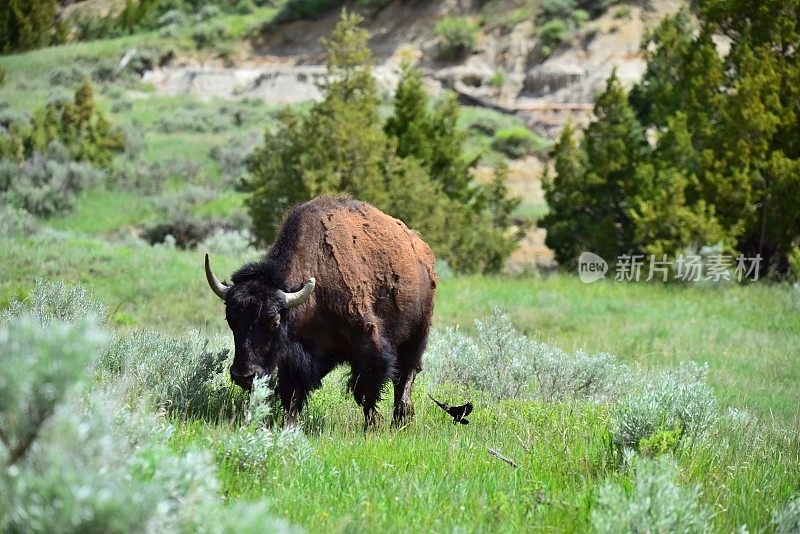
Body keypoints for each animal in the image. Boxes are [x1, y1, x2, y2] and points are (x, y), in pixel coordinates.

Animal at [203, 197, 434, 432]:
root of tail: (421, 249)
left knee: (405, 374)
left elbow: (365, 391)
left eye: (273, 320)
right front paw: (290, 427)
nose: (244, 375)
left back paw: (402, 418)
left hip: (418, 332)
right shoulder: (293, 355)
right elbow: (292, 392)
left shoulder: (369, 344)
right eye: (231, 320)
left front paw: (373, 426)